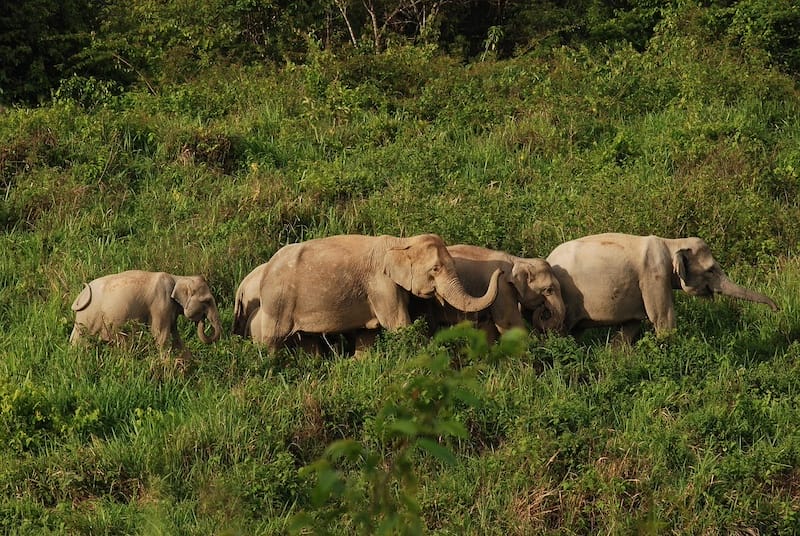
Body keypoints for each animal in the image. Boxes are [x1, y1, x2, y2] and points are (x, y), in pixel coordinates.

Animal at [70, 270, 223, 351]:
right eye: (207, 301)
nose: (202, 320)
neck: (178, 278)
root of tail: (81, 295)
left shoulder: (170, 309)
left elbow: (176, 336)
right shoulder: (160, 305)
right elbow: (160, 335)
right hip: (88, 317)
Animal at [253, 233, 502, 350]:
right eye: (435, 269)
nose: (499, 270)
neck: (401, 241)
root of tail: (265, 268)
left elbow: (368, 333)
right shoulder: (381, 285)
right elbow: (399, 326)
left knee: (307, 340)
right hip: (278, 301)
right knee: (272, 340)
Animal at [546, 233, 779, 343]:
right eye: (711, 270)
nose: (777, 309)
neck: (671, 242)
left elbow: (631, 325)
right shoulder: (654, 275)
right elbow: (662, 320)